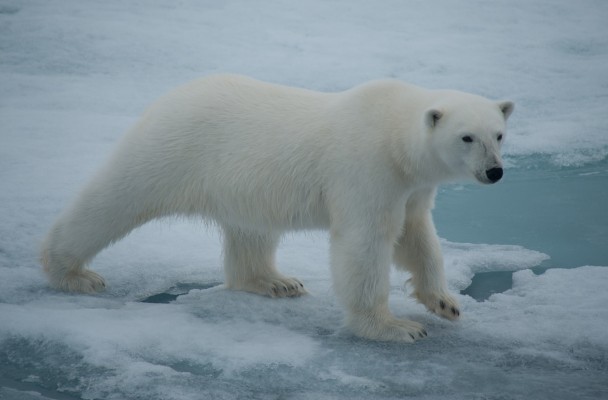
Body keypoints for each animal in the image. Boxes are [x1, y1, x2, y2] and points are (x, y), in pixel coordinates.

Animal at [40, 73, 510, 342]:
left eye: (499, 133)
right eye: (467, 137)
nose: (495, 171)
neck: (393, 136)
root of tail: (172, 95)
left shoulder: (410, 186)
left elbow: (416, 236)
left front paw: (445, 303)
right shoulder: (366, 169)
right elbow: (366, 243)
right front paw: (394, 327)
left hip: (242, 183)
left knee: (251, 232)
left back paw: (276, 282)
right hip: (173, 150)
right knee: (114, 201)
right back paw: (71, 272)